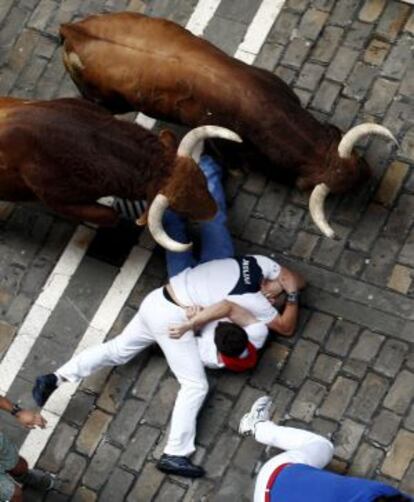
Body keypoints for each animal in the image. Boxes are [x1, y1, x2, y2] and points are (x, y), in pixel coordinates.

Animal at [59, 11, 398, 239]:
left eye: (361, 166)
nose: (367, 177)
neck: (261, 107)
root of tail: (73, 30)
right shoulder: (223, 141)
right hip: (104, 100)